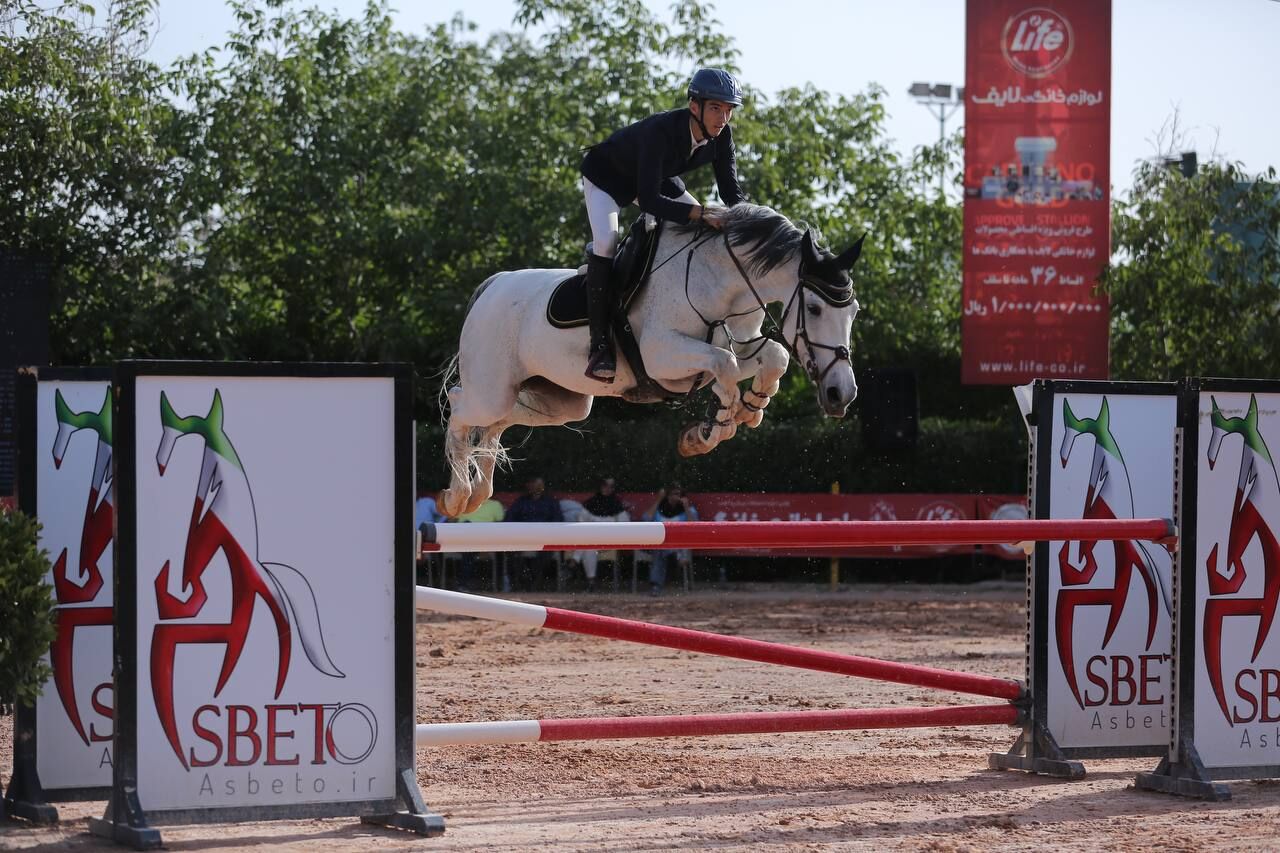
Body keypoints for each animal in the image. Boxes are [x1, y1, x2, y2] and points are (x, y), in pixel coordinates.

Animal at [435, 202, 865, 514]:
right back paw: (456, 496)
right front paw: (712, 429)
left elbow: (769, 356)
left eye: (854, 311)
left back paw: (479, 491)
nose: (840, 395)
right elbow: (724, 366)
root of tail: (493, 285)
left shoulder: (733, 349)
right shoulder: (663, 357)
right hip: (492, 388)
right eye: (814, 309)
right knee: (461, 407)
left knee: (496, 424)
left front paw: (748, 409)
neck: (720, 283)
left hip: (561, 401)